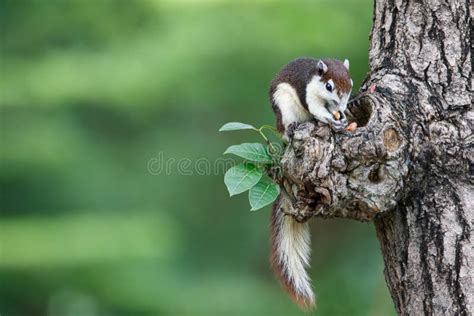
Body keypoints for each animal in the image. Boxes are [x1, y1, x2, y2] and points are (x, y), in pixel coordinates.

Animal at [266, 56, 352, 308]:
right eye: (329, 86)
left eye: (350, 83)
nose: (341, 106)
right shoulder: (309, 93)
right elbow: (315, 108)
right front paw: (329, 118)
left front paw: (341, 116)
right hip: (284, 106)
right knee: (286, 128)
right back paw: (291, 129)